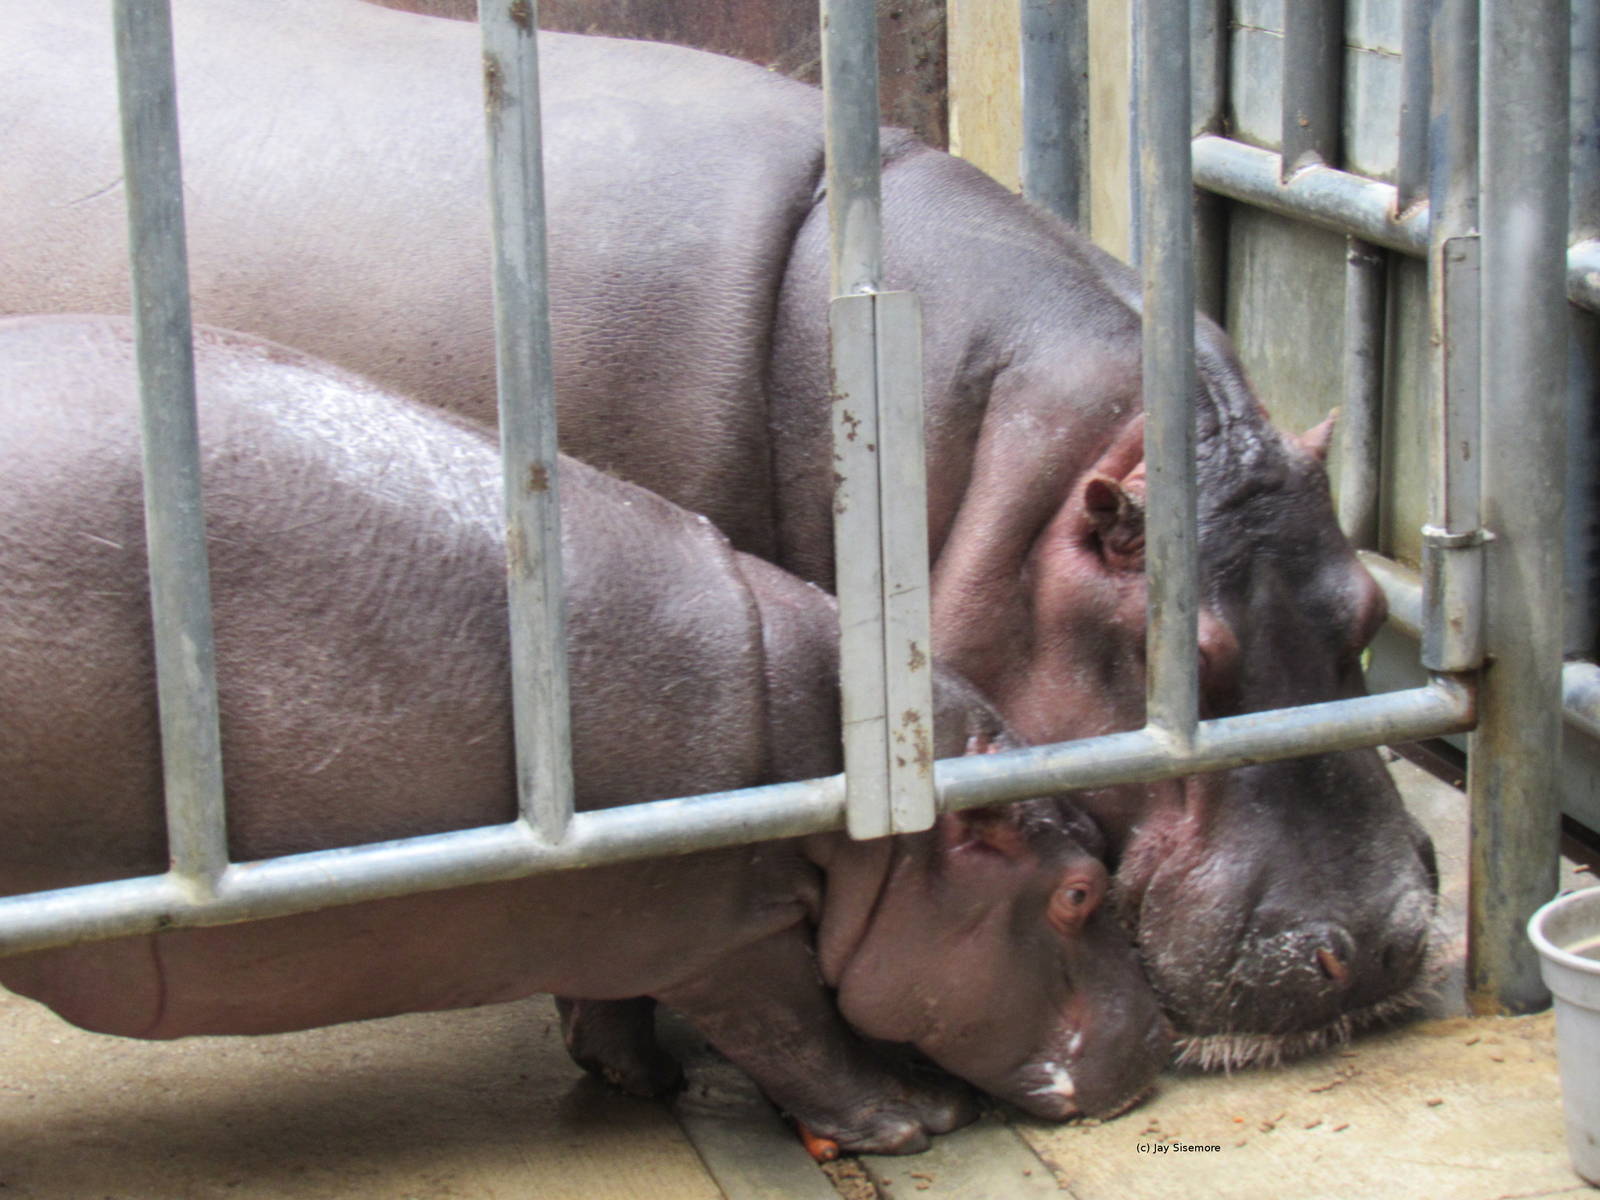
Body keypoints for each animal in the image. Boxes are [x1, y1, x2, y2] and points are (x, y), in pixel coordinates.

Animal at [0, 315, 1172, 1153]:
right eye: (1077, 893)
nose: (1161, 1042)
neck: (861, 793)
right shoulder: (728, 933)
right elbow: (795, 1033)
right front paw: (913, 1119)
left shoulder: (612, 901)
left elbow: (607, 994)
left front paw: (640, 1081)